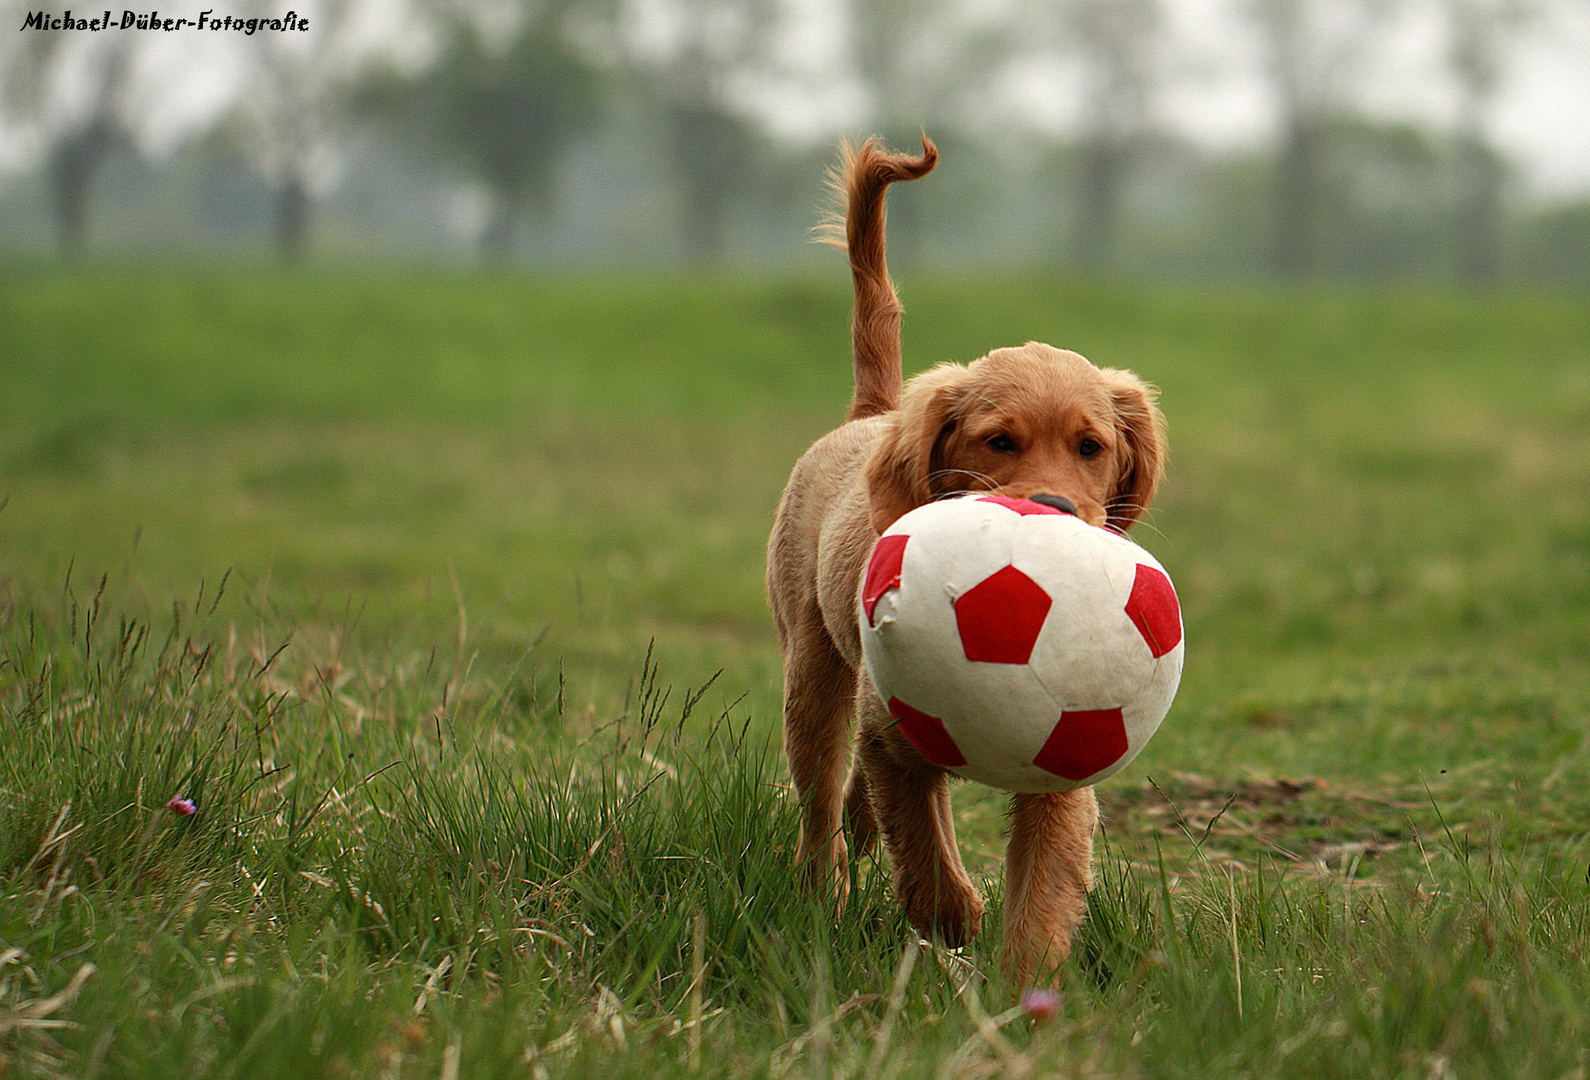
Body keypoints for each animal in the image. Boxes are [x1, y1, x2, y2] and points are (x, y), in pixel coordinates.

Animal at [763, 137, 1163, 986]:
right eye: (999, 440)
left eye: (1091, 447)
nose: (1052, 510)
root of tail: (876, 413)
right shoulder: (894, 732)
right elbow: (922, 847)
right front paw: (954, 915)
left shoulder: (1065, 761)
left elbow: (1043, 886)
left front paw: (1026, 987)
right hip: (812, 674)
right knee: (821, 804)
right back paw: (822, 892)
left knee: (858, 800)